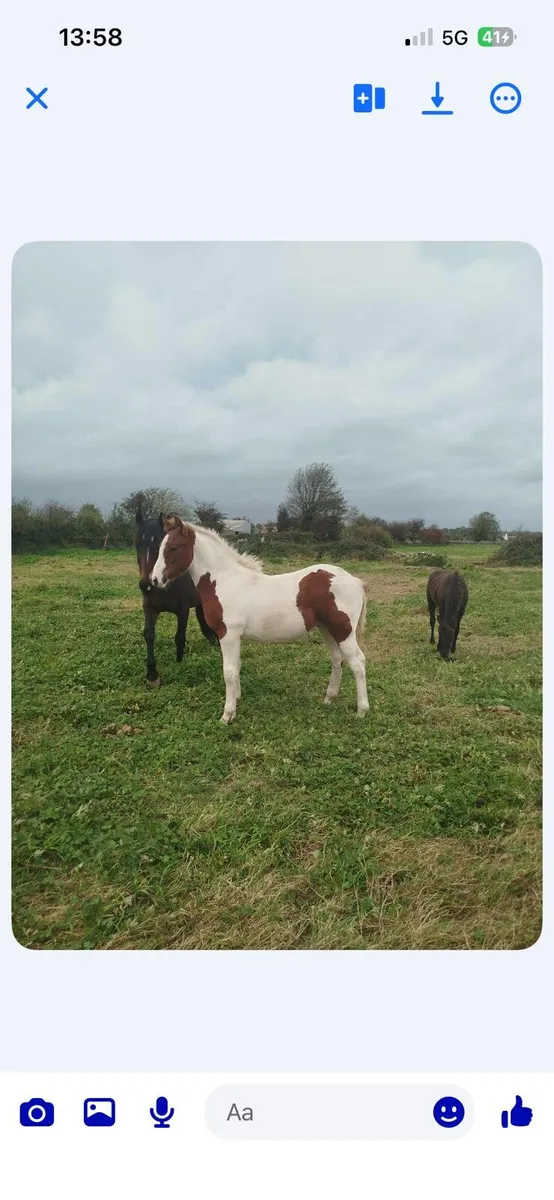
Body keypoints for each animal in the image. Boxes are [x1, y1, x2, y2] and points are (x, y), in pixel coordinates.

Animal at [135, 510, 218, 687]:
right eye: (137, 544)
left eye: (158, 545)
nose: (146, 584)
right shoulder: (149, 607)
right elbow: (149, 634)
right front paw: (152, 674)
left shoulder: (183, 610)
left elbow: (179, 637)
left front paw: (179, 662)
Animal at [150, 517, 369, 724]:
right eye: (161, 547)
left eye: (173, 547)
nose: (154, 580)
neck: (224, 581)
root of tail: (355, 581)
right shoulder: (235, 637)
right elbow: (237, 667)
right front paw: (237, 699)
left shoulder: (228, 635)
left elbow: (229, 672)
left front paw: (228, 714)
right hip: (327, 629)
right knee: (337, 659)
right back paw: (329, 699)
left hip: (343, 630)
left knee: (357, 662)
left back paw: (362, 710)